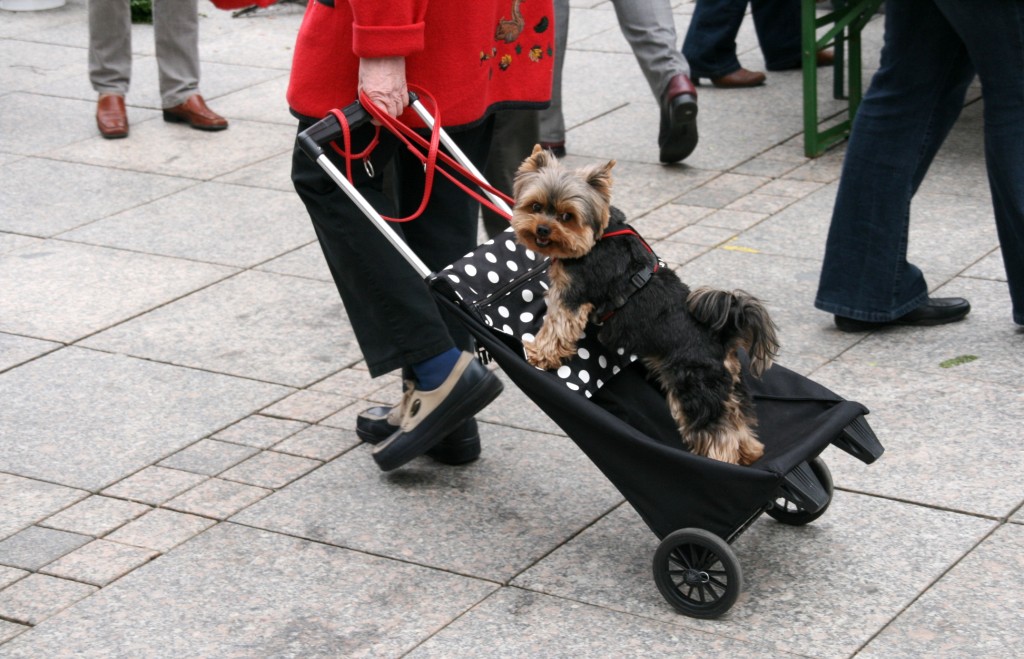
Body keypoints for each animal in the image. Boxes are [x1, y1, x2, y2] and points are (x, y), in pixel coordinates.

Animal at [507, 145, 778, 462]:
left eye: (566, 216)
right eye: (536, 207)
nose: (542, 230)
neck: (598, 238)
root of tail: (720, 338)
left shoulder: (572, 295)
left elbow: (556, 326)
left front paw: (540, 353)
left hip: (692, 387)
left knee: (716, 433)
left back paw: (719, 462)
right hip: (729, 386)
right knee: (738, 419)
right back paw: (750, 452)